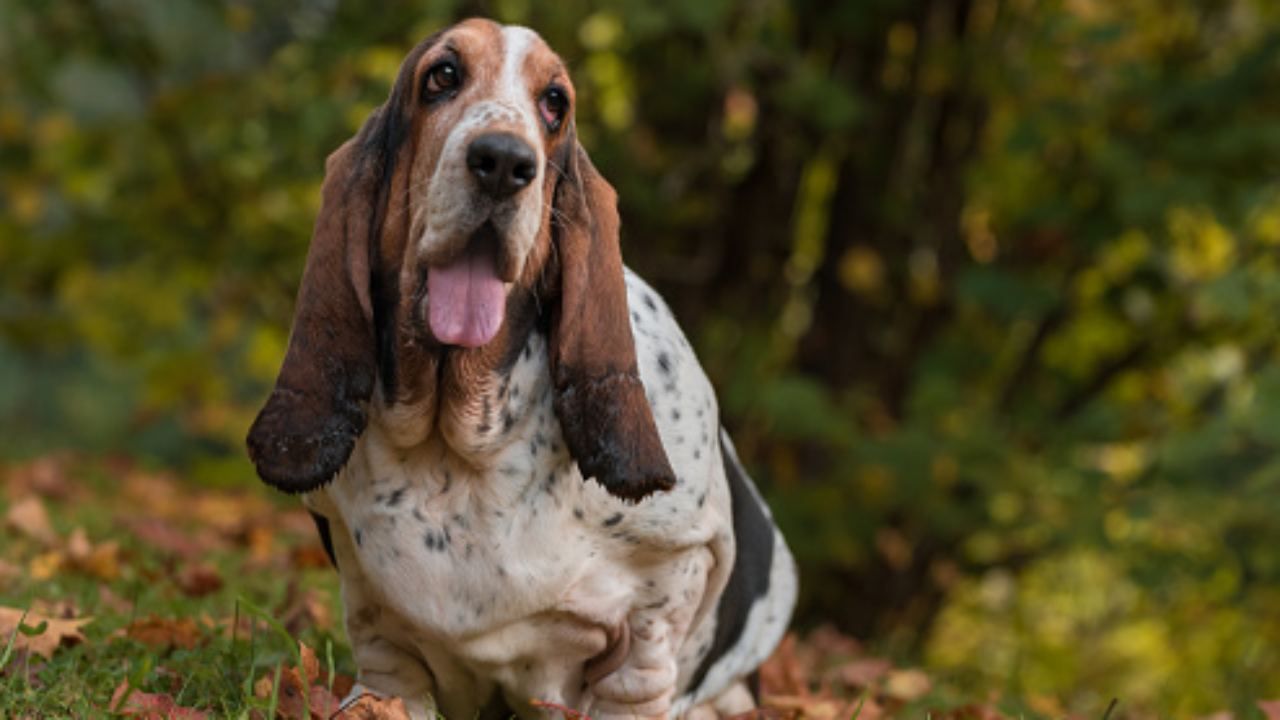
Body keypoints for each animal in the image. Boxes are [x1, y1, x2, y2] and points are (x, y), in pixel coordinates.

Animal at [244, 18, 793, 717]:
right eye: (442, 76)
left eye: (554, 103)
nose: (504, 162)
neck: (460, 448)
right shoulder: (378, 632)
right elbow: (388, 672)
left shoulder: (672, 581)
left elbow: (639, 672)